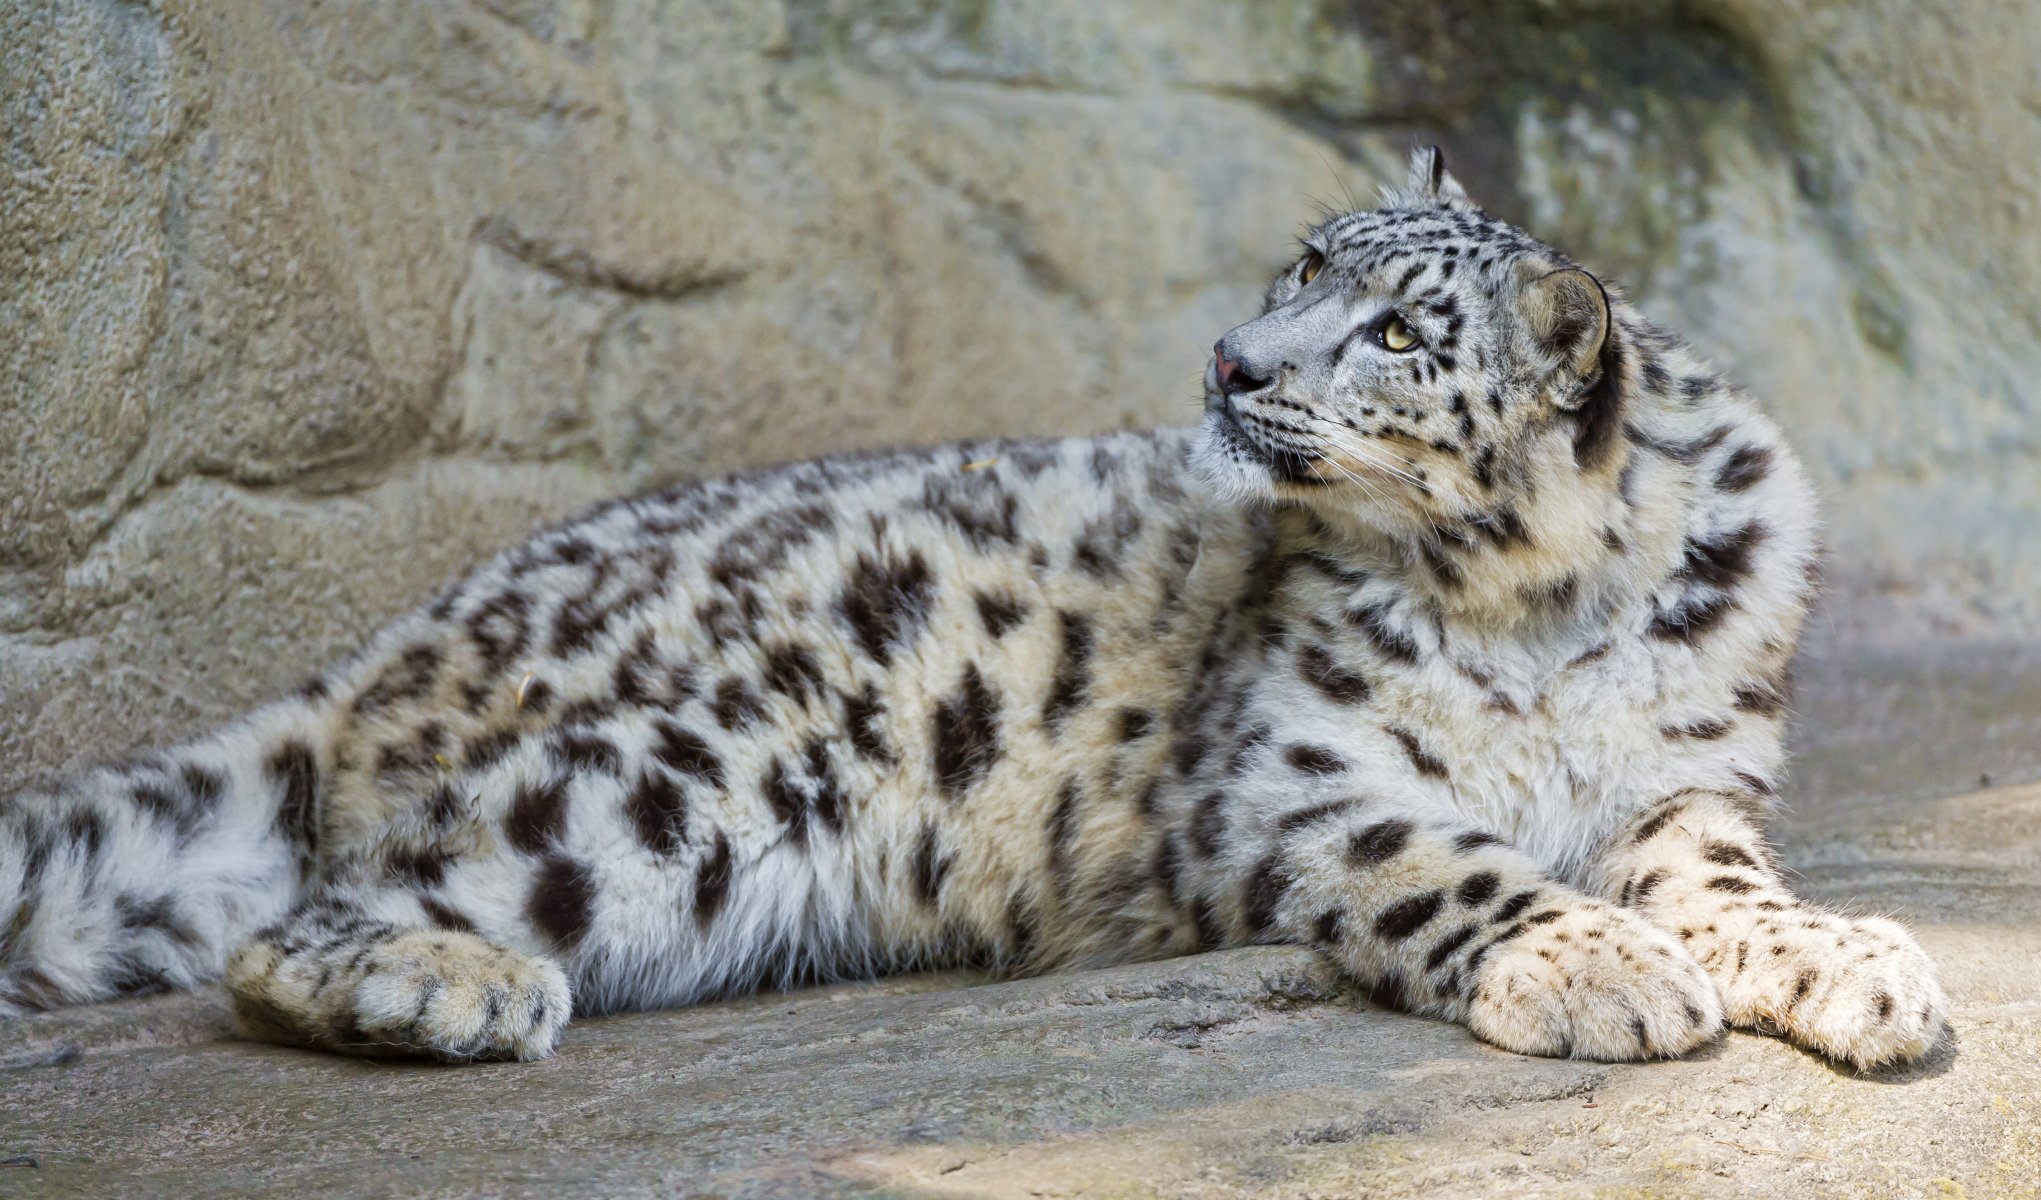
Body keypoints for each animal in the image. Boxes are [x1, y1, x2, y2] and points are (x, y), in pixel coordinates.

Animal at [0, 148, 1946, 1070]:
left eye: (1400, 333)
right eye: (1302, 264)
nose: (1234, 359)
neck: (1537, 613)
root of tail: (385, 650)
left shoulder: (1686, 784)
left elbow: (1730, 891)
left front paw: (1856, 971)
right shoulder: (1286, 778)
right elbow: (1451, 868)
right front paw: (1600, 969)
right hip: (681, 787)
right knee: (301, 923)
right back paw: (455, 989)